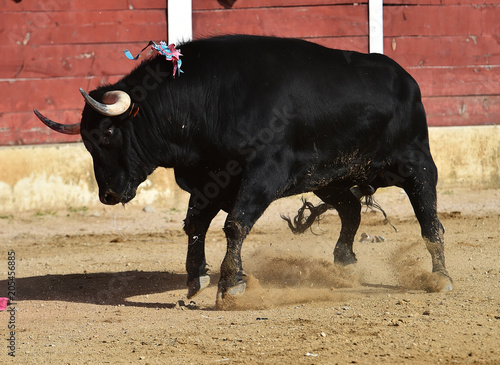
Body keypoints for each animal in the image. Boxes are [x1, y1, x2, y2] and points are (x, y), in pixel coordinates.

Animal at [33, 34, 452, 308]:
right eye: (86, 141)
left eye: (107, 134)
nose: (108, 195)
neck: (206, 102)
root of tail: (406, 79)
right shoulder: (207, 179)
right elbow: (195, 225)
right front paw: (196, 279)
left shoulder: (264, 173)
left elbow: (235, 224)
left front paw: (229, 285)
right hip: (328, 177)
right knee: (350, 211)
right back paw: (345, 265)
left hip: (416, 164)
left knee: (429, 219)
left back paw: (441, 277)